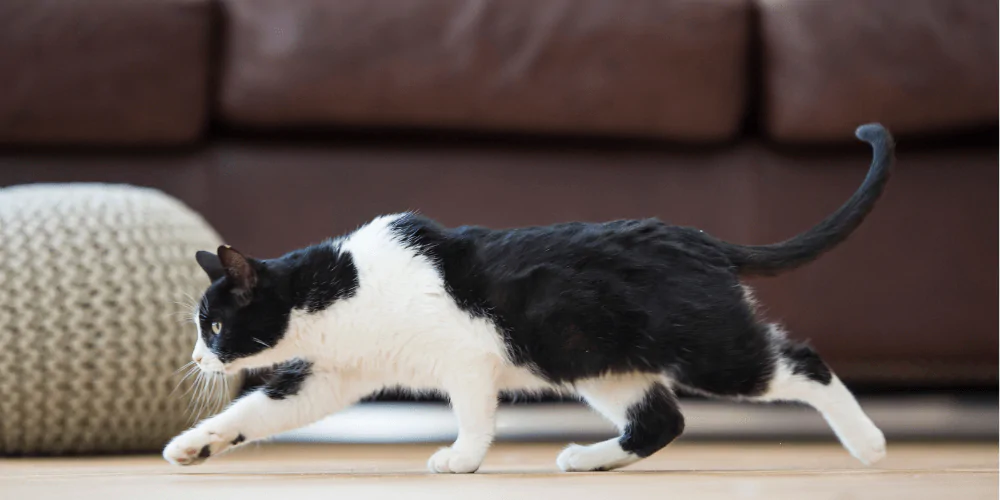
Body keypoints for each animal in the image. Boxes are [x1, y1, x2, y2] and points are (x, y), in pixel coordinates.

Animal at [162, 124, 892, 472]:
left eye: (214, 325)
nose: (197, 360)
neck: (343, 291)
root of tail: (703, 239)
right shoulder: (331, 375)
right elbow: (258, 411)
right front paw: (194, 445)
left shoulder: (466, 358)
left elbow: (475, 413)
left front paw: (460, 460)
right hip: (596, 362)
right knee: (661, 421)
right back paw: (588, 460)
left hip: (709, 349)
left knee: (801, 363)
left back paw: (868, 443)